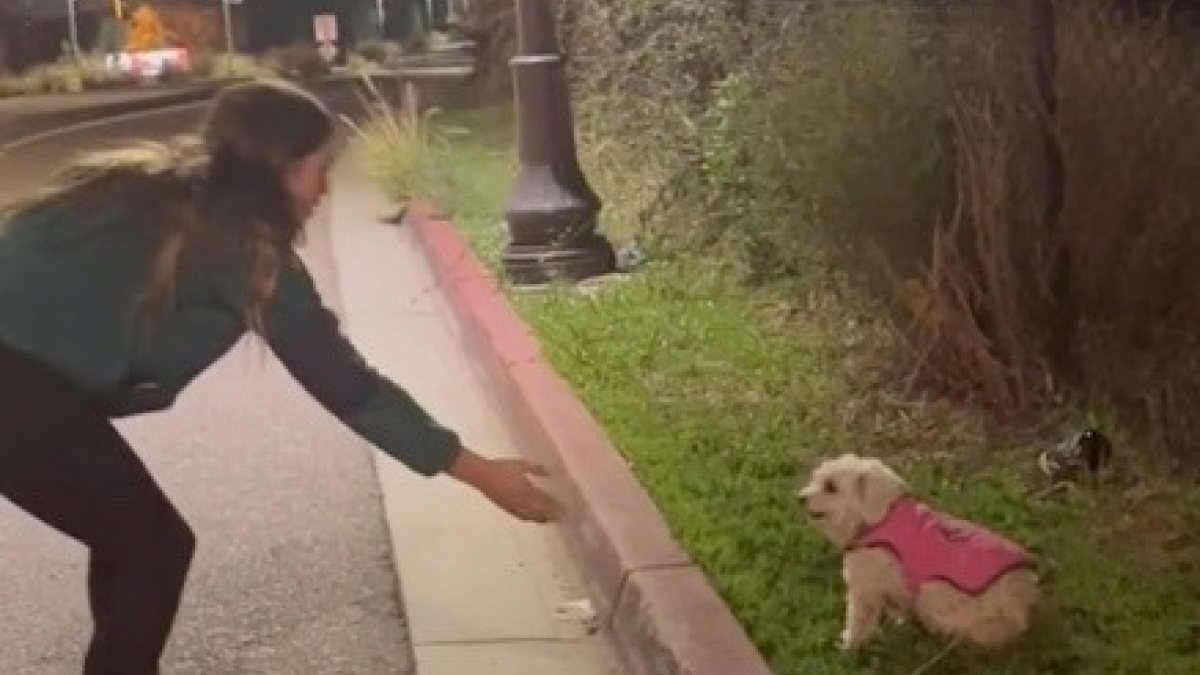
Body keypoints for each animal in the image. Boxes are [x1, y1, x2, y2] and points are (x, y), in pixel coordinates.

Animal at [796, 451, 1041, 648]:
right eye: (815, 478)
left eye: (831, 487)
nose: (800, 498)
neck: (881, 519)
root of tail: (1025, 596)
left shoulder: (865, 584)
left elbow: (858, 618)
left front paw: (849, 645)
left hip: (935, 591)